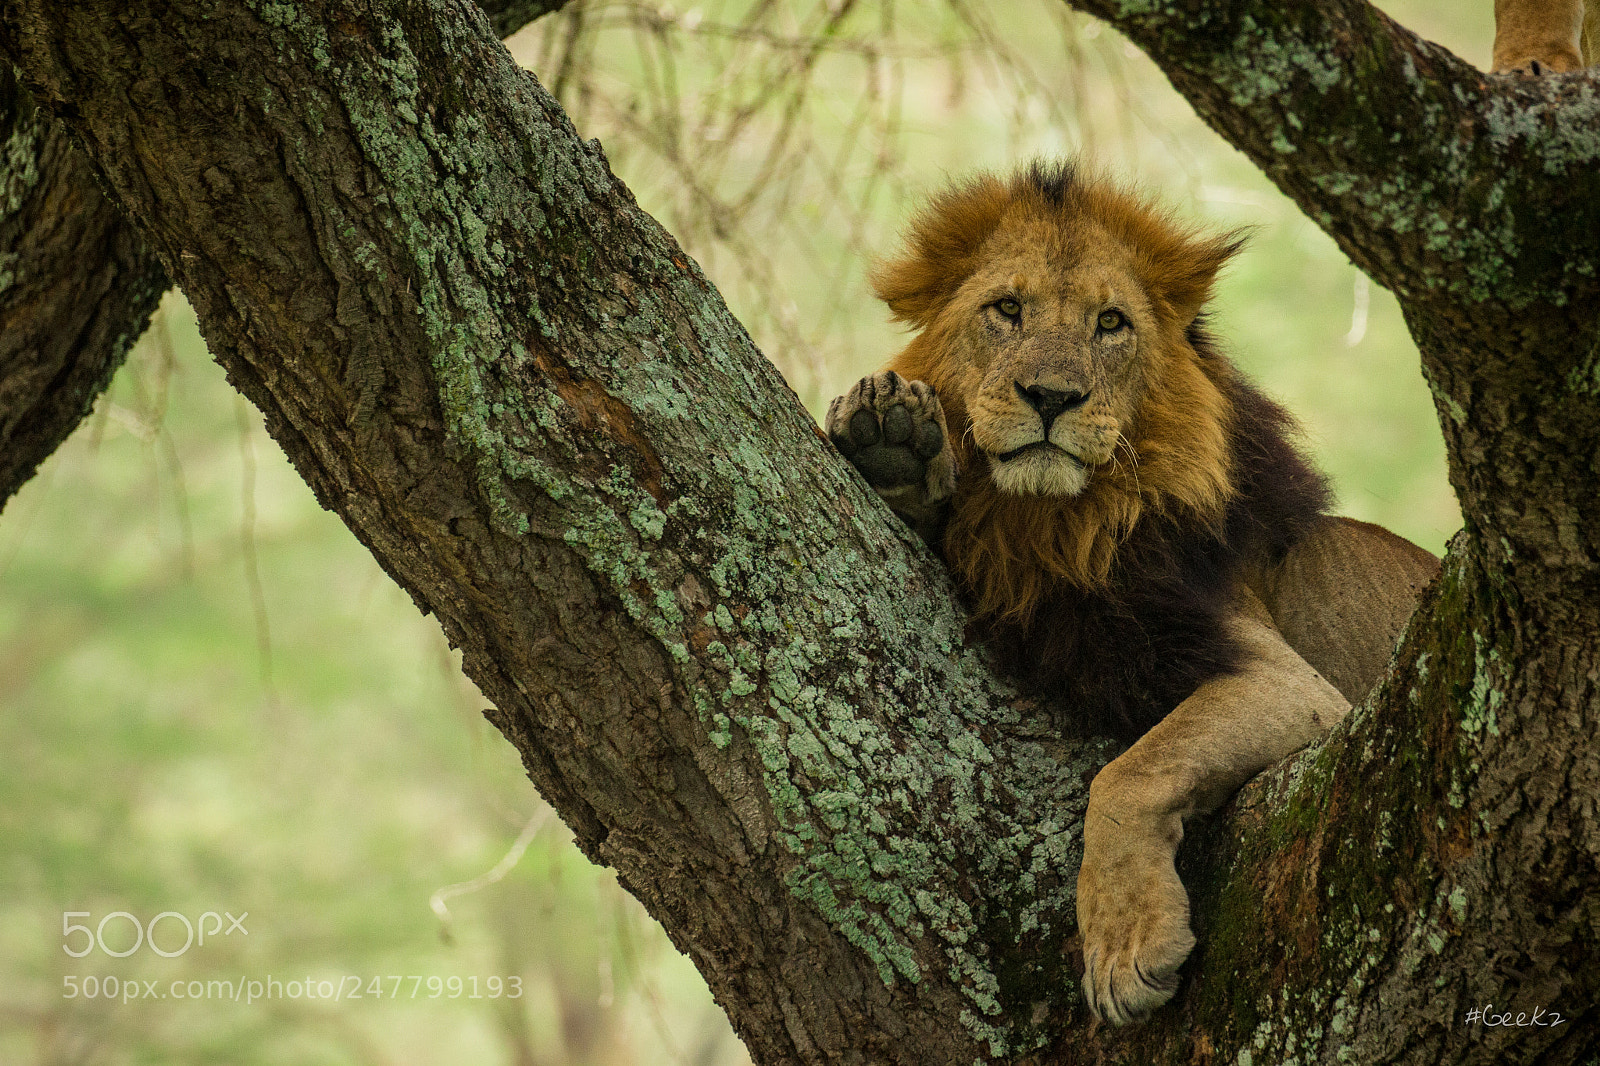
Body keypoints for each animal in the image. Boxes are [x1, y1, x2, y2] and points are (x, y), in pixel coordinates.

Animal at [825, 163, 1440, 1025]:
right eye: (1006, 310)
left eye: (1110, 323)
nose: (1051, 396)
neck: (1060, 527)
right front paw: (896, 450)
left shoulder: (1295, 687)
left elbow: (1127, 775)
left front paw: (1124, 950)